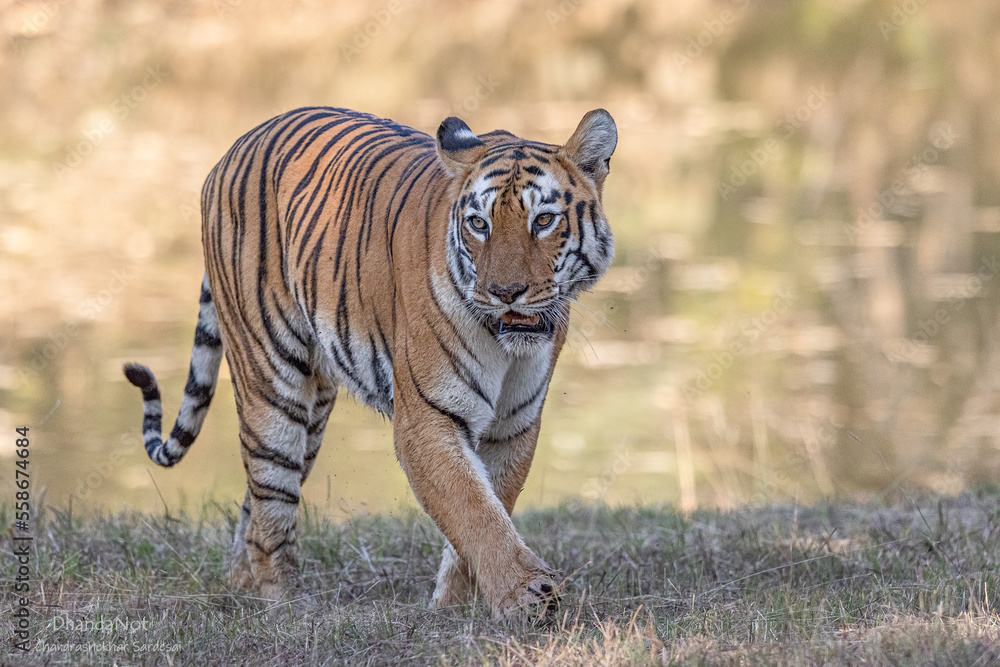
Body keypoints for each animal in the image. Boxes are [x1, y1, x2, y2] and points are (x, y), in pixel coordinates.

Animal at [125, 105, 616, 620]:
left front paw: (455, 606)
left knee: (254, 504)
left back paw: (243, 588)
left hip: (314, 409)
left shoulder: (513, 425)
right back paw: (289, 607)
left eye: (543, 220)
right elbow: (473, 510)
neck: (507, 348)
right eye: (479, 224)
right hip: (271, 380)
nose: (504, 293)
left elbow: (488, 506)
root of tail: (236, 146)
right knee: (269, 511)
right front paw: (525, 595)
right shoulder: (426, 419)